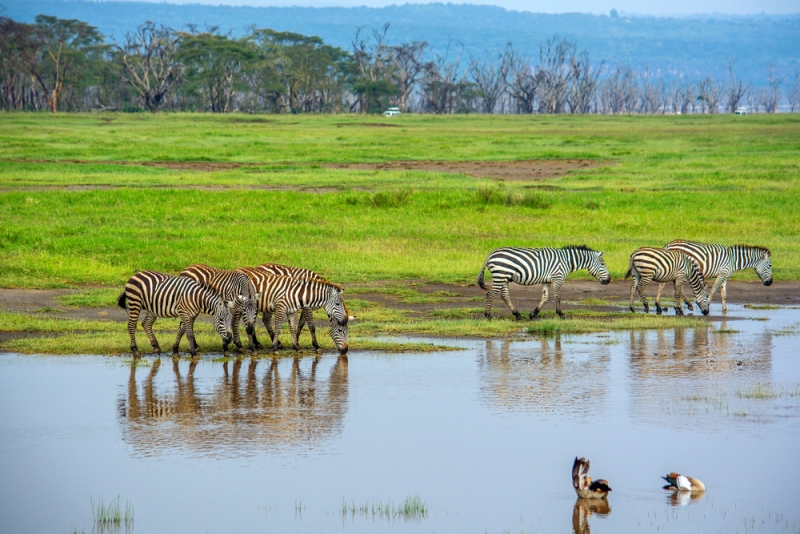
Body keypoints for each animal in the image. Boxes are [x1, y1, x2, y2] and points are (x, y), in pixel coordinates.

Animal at [476, 245, 612, 320]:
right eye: (602, 264)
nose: (609, 280)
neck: (567, 261)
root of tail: (491, 254)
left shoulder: (546, 281)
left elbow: (545, 297)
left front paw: (533, 314)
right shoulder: (558, 278)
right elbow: (558, 297)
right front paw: (561, 314)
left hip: (503, 278)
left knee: (504, 295)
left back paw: (517, 314)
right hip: (500, 275)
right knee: (490, 294)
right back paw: (488, 316)